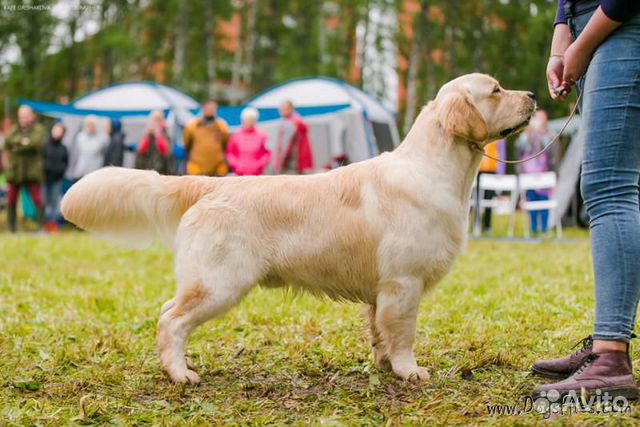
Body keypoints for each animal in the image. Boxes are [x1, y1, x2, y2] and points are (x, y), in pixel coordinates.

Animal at [63, 73, 536, 384]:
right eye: (496, 90)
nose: (533, 94)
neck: (432, 169)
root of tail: (211, 183)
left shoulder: (380, 291)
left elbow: (379, 334)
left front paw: (385, 368)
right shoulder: (403, 284)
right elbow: (402, 335)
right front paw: (409, 371)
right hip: (220, 282)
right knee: (171, 320)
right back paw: (181, 374)